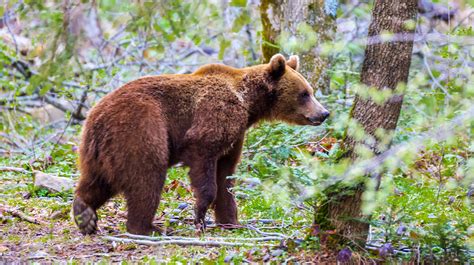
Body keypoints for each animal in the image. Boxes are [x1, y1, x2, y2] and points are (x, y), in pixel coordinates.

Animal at [72, 53, 330, 233]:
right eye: (304, 93)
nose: (324, 113)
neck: (248, 103)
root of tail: (96, 117)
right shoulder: (216, 115)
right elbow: (203, 158)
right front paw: (199, 216)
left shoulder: (236, 135)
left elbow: (226, 174)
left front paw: (231, 221)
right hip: (140, 129)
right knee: (146, 176)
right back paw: (148, 227)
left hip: (99, 149)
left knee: (97, 180)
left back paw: (84, 215)